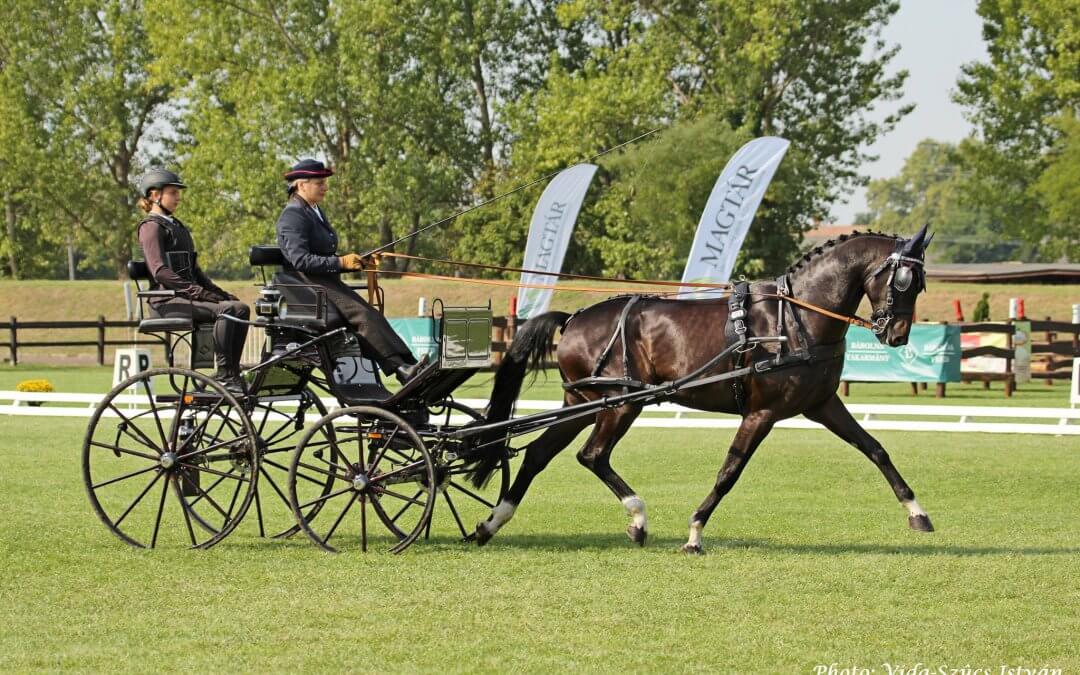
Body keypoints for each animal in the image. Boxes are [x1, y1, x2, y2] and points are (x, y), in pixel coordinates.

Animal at [466, 225, 936, 553]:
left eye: (921, 283)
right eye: (902, 281)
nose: (896, 335)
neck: (796, 318)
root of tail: (575, 317)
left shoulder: (821, 404)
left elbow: (875, 449)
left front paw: (918, 513)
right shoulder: (761, 413)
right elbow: (730, 471)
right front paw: (694, 533)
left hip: (582, 403)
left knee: (538, 455)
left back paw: (491, 524)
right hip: (618, 406)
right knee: (592, 455)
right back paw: (638, 519)